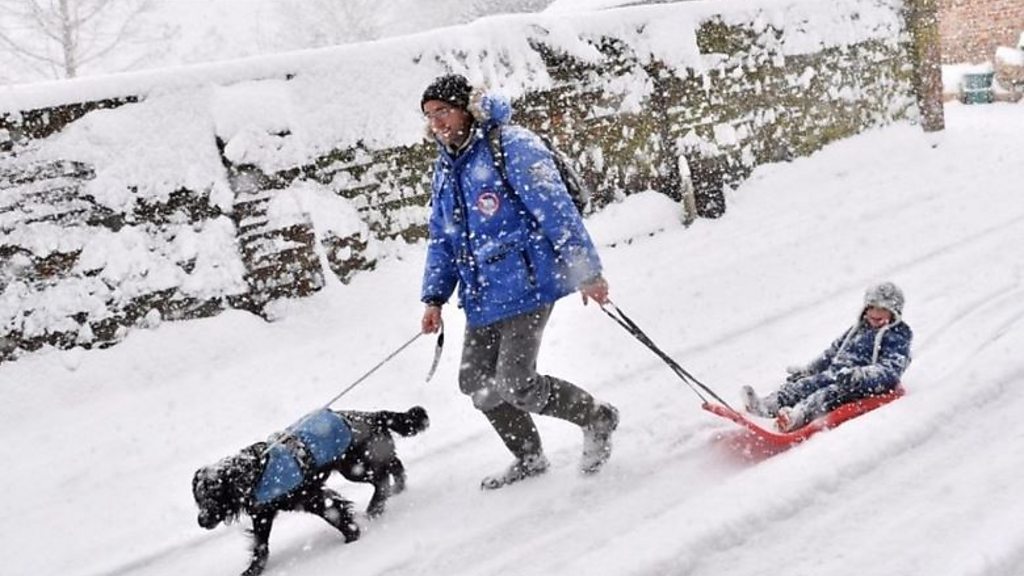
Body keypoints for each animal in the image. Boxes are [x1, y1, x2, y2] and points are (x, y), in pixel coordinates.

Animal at [192, 403, 428, 573]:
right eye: (198, 499)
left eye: (214, 496)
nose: (201, 520)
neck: (256, 471)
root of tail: (373, 416)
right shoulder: (263, 515)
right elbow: (261, 545)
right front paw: (253, 569)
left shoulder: (314, 497)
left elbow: (336, 515)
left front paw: (352, 535)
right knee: (393, 464)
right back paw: (396, 489)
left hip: (355, 467)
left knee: (382, 479)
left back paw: (375, 508)